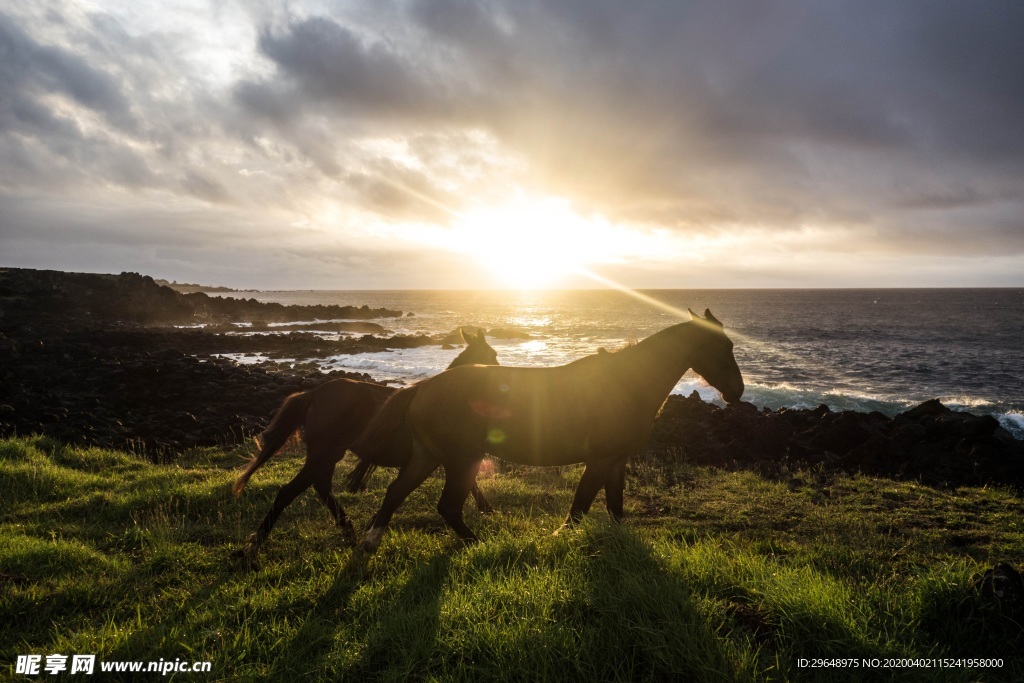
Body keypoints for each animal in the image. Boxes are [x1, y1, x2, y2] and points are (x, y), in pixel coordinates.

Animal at [233, 329, 503, 561]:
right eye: (493, 355)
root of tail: (313, 394)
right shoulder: (448, 454)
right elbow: (468, 485)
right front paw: (488, 510)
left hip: (328, 454)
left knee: (320, 487)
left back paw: (348, 529)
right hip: (324, 453)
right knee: (290, 491)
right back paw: (254, 544)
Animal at [348, 309, 741, 548]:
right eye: (723, 345)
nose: (736, 392)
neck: (626, 382)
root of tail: (423, 387)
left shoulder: (617, 461)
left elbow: (615, 508)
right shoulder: (599, 460)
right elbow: (579, 508)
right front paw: (558, 539)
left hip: (427, 456)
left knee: (395, 493)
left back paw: (371, 542)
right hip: (461, 460)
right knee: (447, 506)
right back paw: (476, 544)